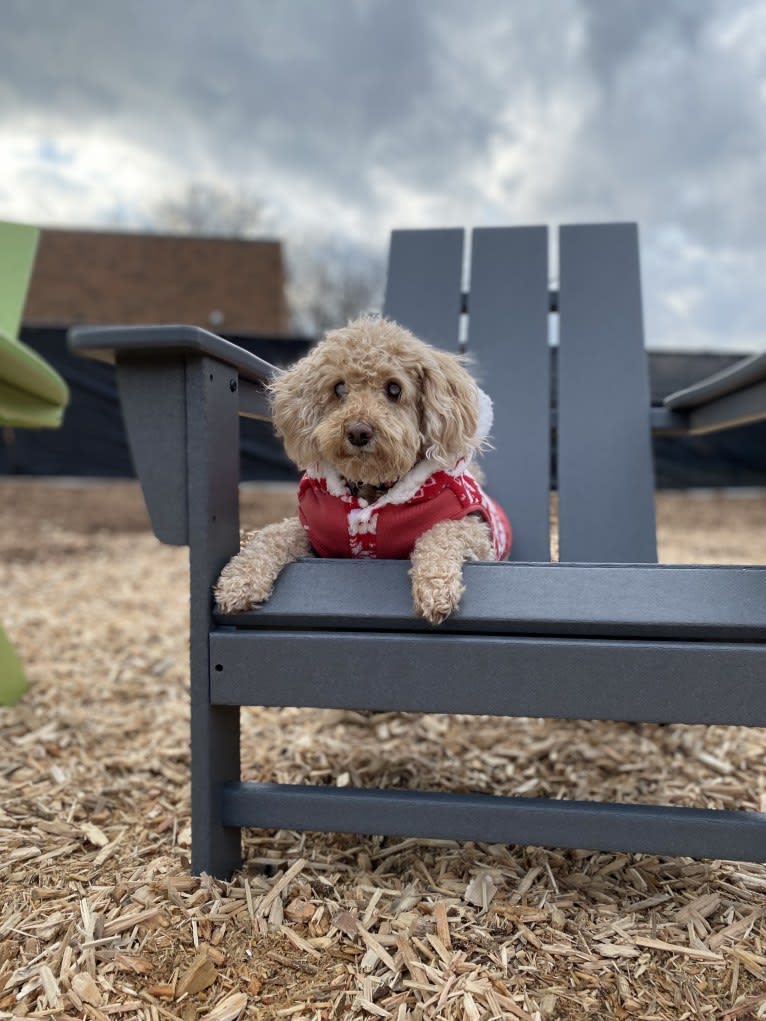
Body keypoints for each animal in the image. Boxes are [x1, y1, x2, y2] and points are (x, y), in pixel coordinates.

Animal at [213, 316, 512, 620]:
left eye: (394, 389)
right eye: (339, 388)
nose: (358, 431)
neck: (373, 487)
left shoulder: (476, 531)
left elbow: (441, 532)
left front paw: (435, 589)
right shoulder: (313, 535)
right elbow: (273, 535)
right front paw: (240, 581)